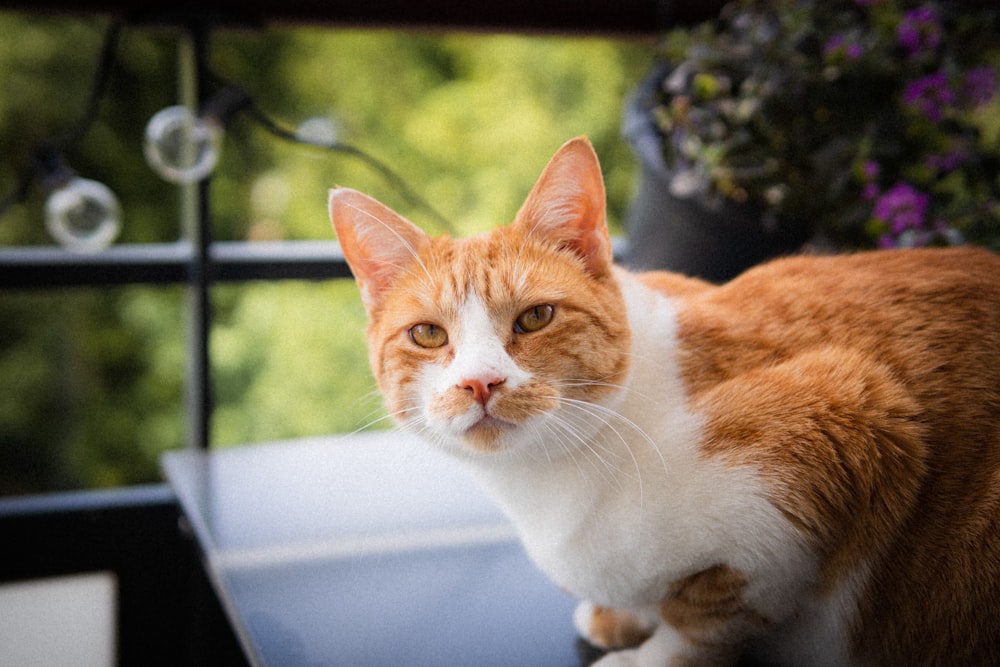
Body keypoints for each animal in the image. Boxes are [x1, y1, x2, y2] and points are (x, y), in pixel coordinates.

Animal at [330, 137, 1000, 667]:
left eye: (536, 317)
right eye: (428, 334)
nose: (480, 383)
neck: (551, 490)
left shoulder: (842, 420)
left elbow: (704, 621)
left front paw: (639, 653)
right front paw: (618, 615)